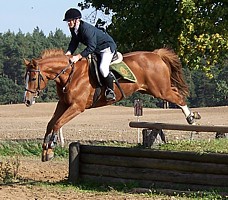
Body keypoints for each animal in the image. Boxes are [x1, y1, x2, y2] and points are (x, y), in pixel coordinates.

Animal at [22, 48, 198, 162]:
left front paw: (51, 146)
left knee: (179, 97)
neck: (70, 74)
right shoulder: (64, 103)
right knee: (176, 92)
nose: (27, 101)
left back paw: (192, 120)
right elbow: (50, 123)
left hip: (160, 90)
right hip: (153, 90)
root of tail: (156, 55)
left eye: (33, 78)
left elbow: (57, 123)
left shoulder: (77, 106)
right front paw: (45, 149)